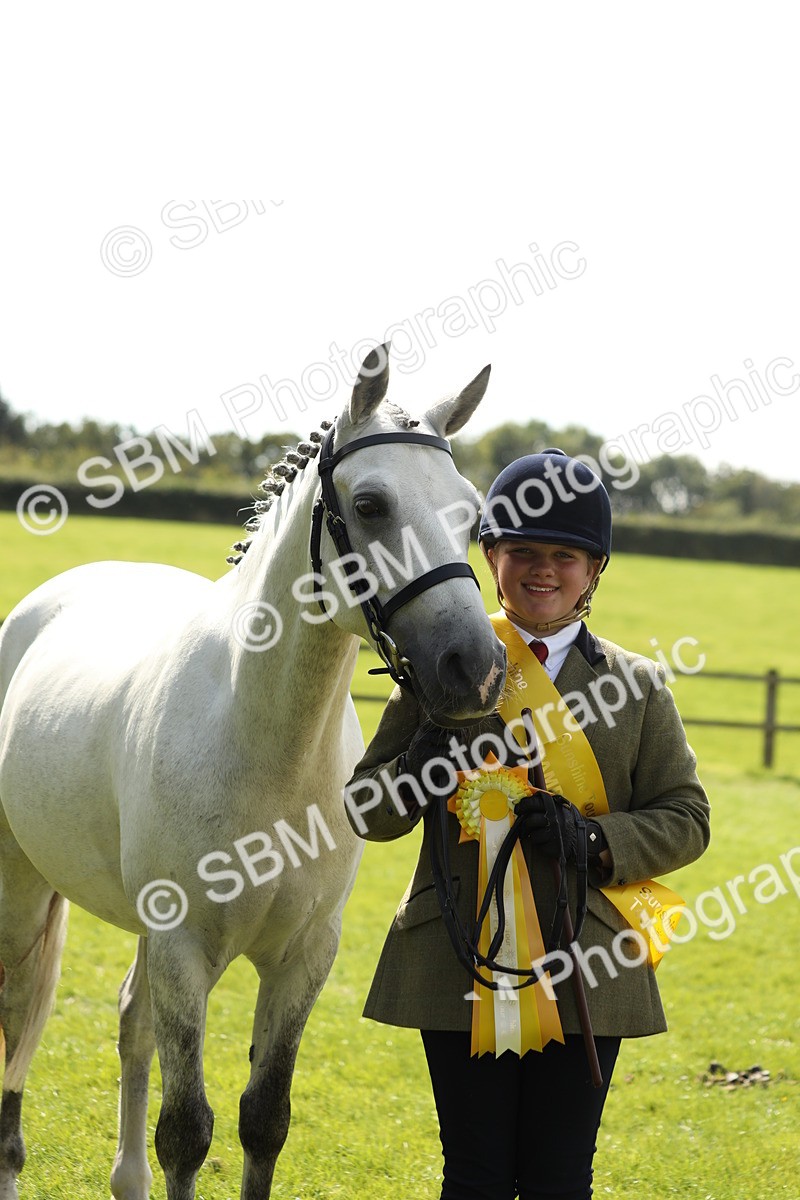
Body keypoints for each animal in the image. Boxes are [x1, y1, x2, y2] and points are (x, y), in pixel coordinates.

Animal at [0, 344, 507, 1200]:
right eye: (370, 504)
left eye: (470, 516)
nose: (472, 667)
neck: (267, 748)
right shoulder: (182, 949)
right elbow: (187, 1132)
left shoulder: (303, 956)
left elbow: (263, 1120)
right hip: (24, 893)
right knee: (16, 1027)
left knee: (131, 1024)